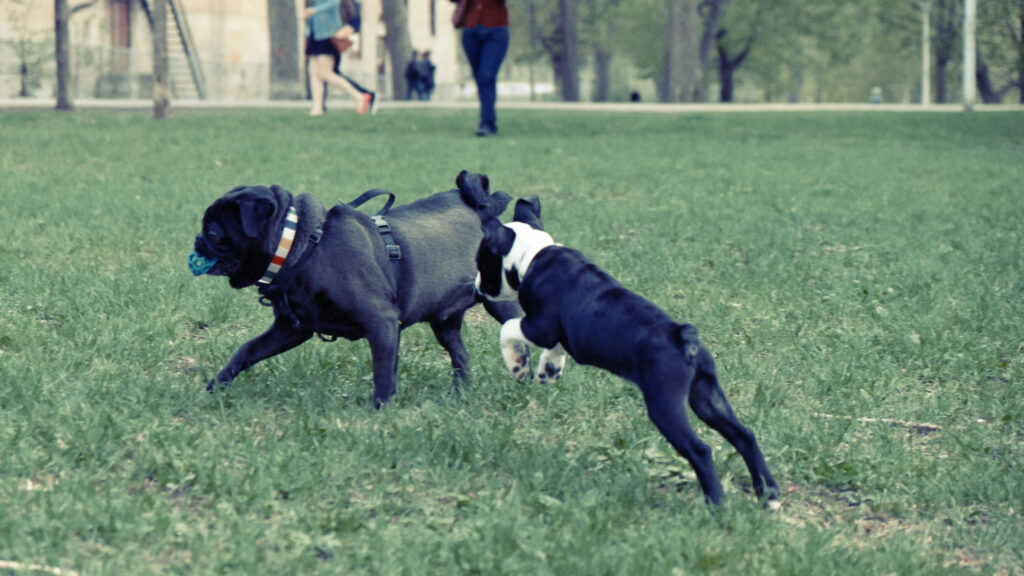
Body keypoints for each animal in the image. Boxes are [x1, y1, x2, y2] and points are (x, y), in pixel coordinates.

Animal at [190, 177, 520, 405]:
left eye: (213, 232)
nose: (196, 240)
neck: (303, 245)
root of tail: (484, 209)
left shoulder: (382, 323)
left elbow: (383, 372)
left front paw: (382, 409)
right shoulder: (291, 329)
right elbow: (247, 350)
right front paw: (216, 385)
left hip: (502, 305)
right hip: (444, 322)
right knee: (460, 356)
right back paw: (458, 394)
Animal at [460, 171, 778, 506]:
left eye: (482, 262)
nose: (476, 284)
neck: (532, 255)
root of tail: (684, 336)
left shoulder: (539, 325)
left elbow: (508, 327)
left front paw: (518, 365)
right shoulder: (556, 330)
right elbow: (555, 347)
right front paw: (549, 370)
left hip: (665, 403)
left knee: (700, 450)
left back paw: (716, 505)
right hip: (707, 396)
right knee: (744, 434)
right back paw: (769, 496)